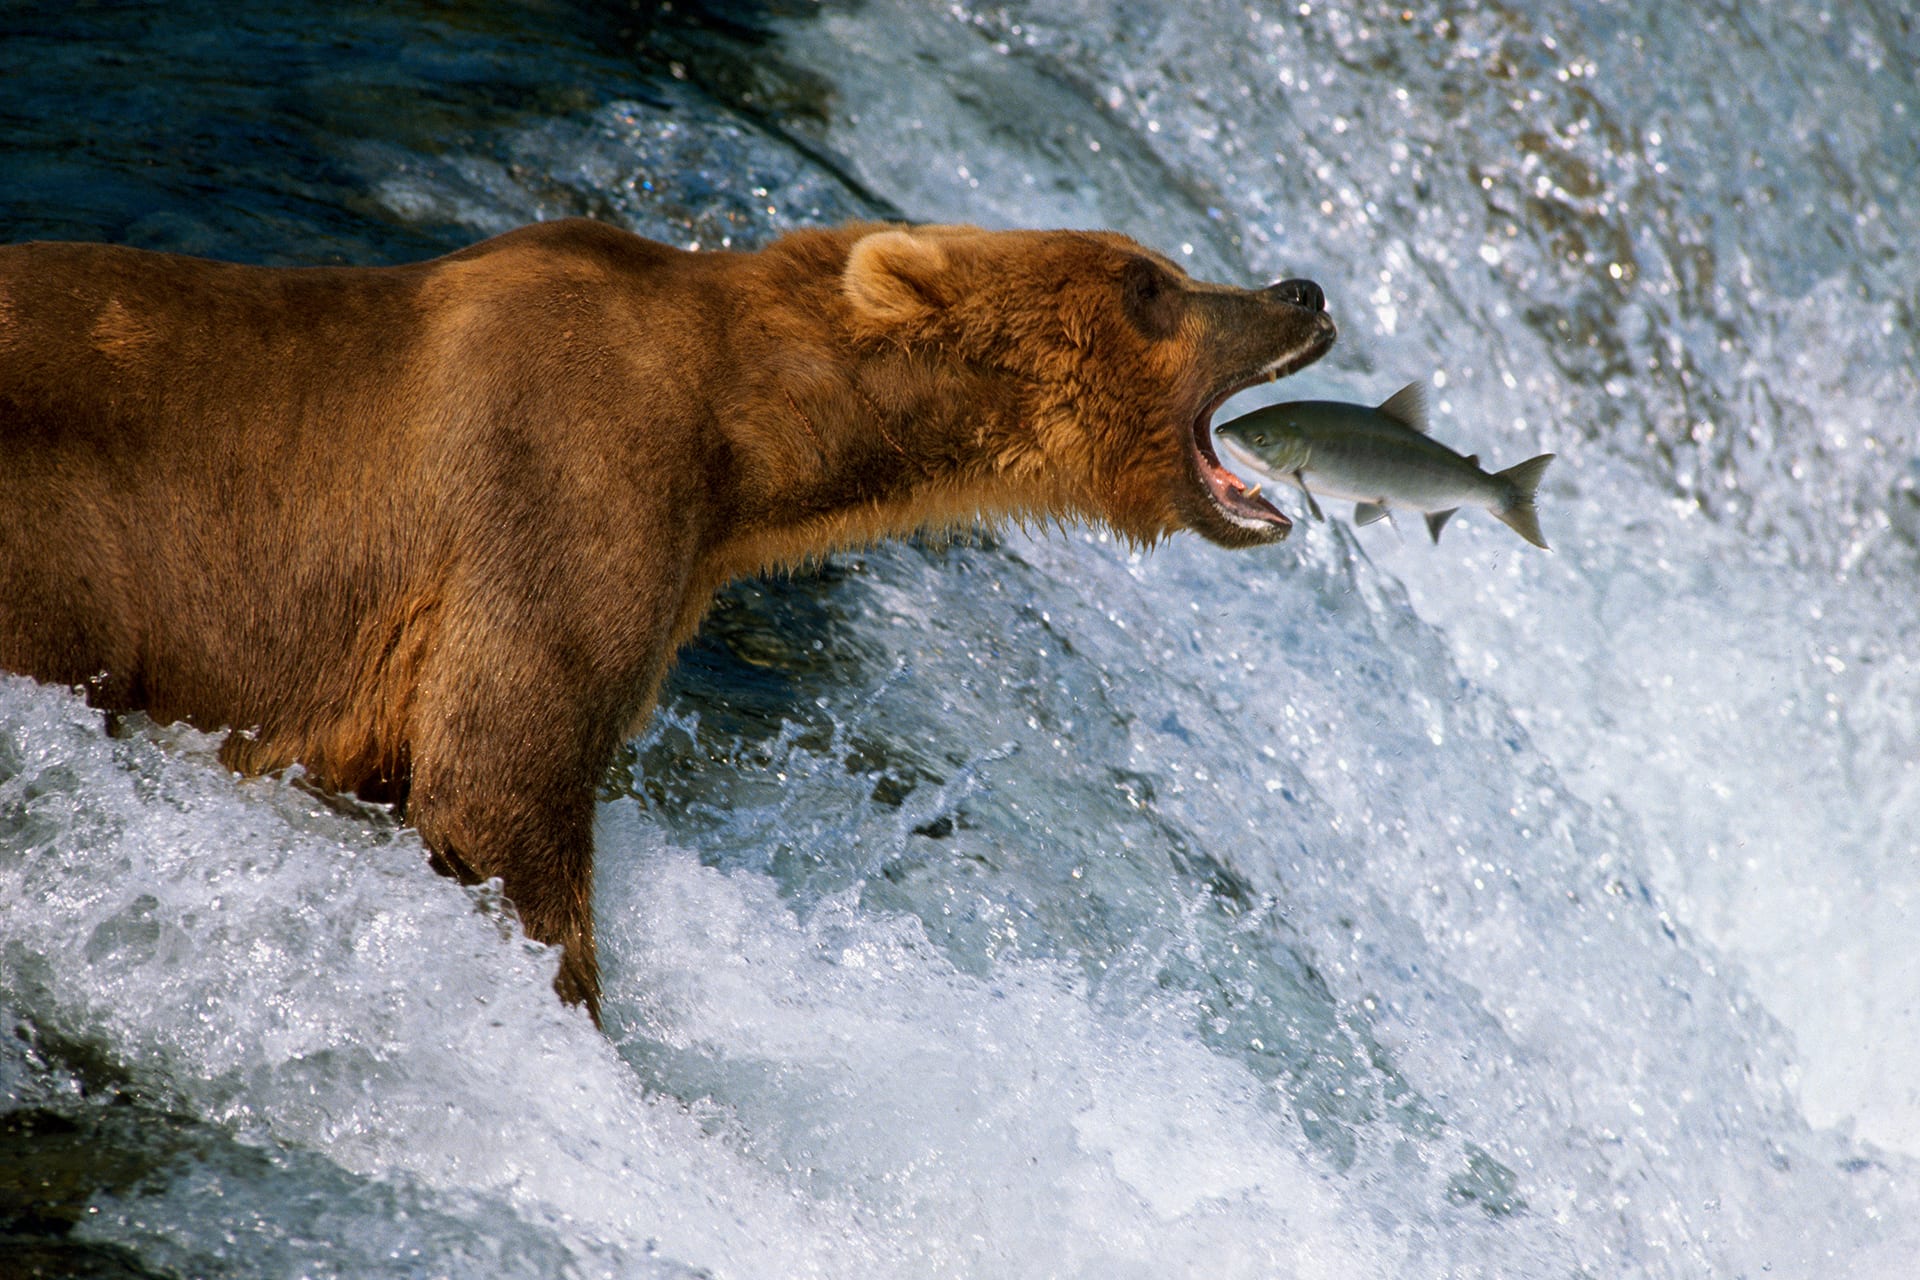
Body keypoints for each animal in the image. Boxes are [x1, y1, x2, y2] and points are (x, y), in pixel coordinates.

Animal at [0, 217, 1336, 1020]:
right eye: (1151, 285)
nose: (1302, 289)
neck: (746, 443)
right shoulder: (567, 480)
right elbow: (500, 774)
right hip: (59, 548)